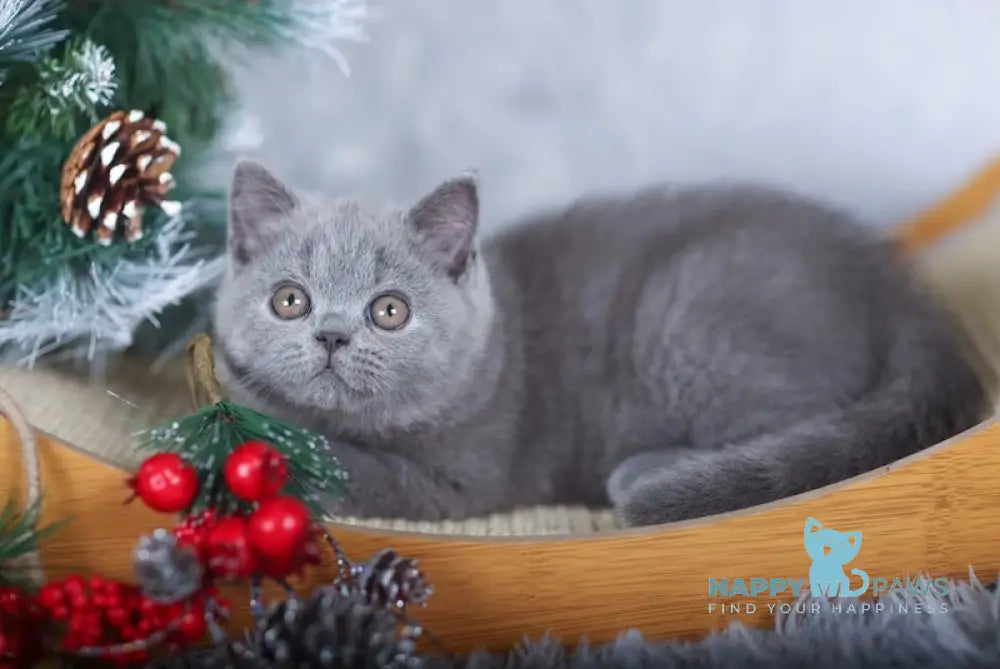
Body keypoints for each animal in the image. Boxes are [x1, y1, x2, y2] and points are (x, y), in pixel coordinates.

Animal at [215, 159, 988, 524]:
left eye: (390, 311)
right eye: (290, 300)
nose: (332, 335)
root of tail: (892, 280)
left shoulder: (455, 481)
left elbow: (348, 465)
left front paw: (258, 427)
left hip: (686, 311)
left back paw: (653, 472)